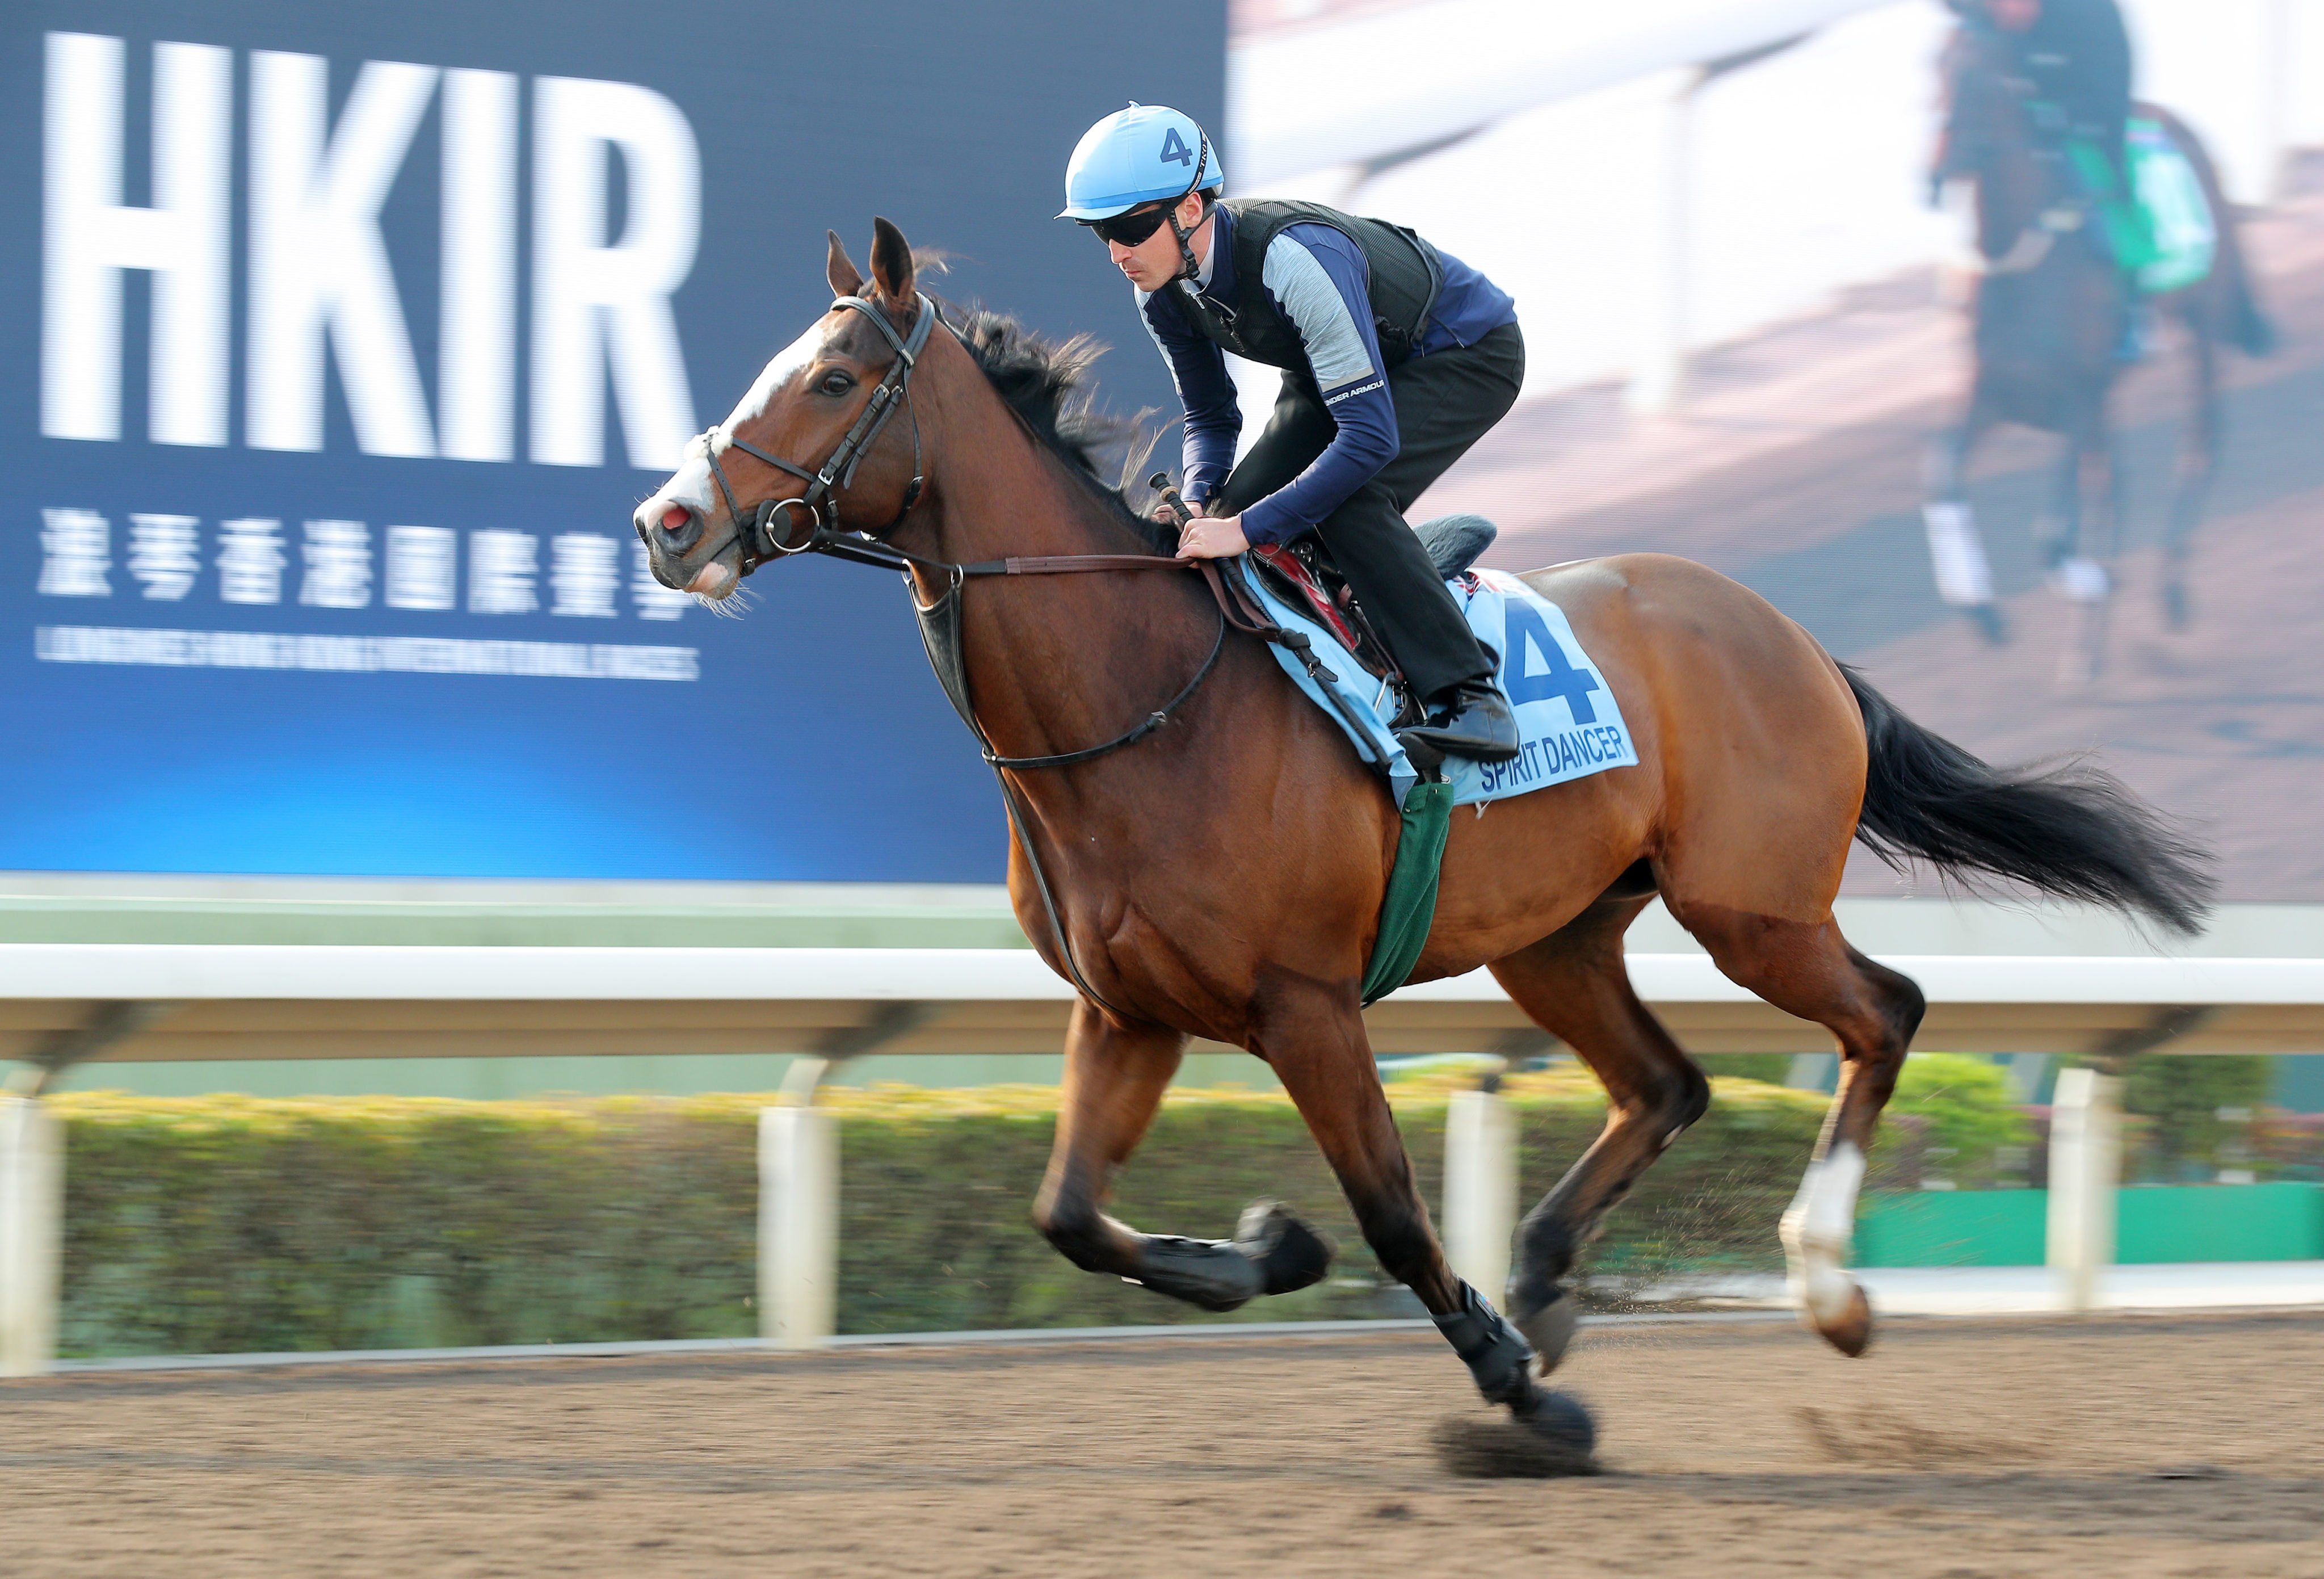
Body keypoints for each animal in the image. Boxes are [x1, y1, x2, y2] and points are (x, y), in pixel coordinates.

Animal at [1924, 14, 2268, 679]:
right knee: (2115, 481)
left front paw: (2092, 599)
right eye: (1931, 70)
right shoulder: (1998, 392)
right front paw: (1982, 610)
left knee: (2199, 441)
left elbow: (2060, 529)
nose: (1933, 176)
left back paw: (2169, 590)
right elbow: (1945, 478)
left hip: (2199, 327)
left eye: (1981, 78)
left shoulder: (2077, 400)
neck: (2025, 269)